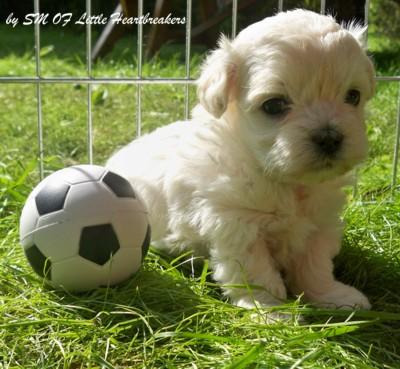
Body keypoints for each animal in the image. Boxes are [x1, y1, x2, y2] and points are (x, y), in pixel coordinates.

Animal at [107, 9, 376, 308]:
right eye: (274, 105)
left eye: (353, 96)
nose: (329, 137)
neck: (283, 181)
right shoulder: (237, 224)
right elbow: (256, 273)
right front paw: (270, 310)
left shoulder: (320, 222)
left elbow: (314, 266)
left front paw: (334, 297)